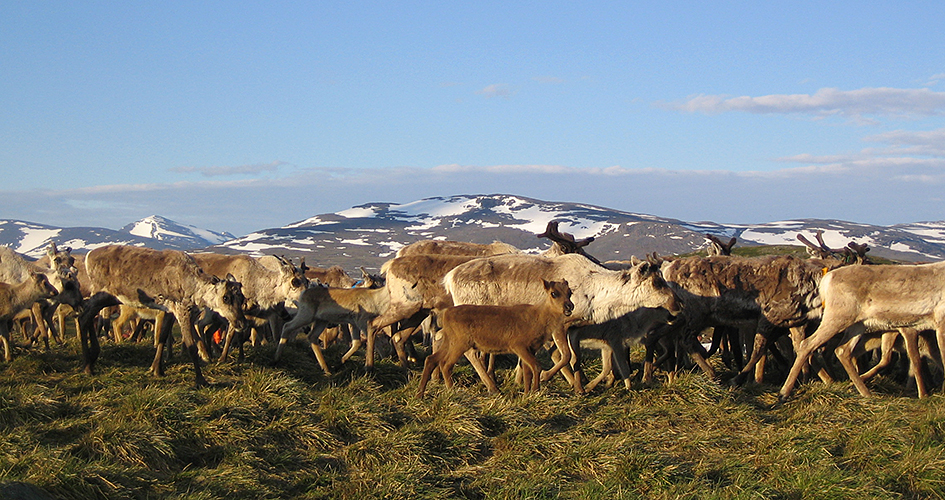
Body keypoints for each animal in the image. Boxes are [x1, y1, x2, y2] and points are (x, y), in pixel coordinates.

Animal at [418, 280, 576, 396]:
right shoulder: (518, 344)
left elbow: (527, 371)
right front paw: (535, 391)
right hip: (460, 342)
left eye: (570, 292)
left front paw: (527, 394)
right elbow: (536, 366)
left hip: (450, 341)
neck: (540, 320)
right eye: (554, 293)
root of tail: (445, 314)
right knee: (446, 364)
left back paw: (420, 393)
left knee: (431, 359)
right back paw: (453, 390)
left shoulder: (531, 348)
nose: (569, 306)